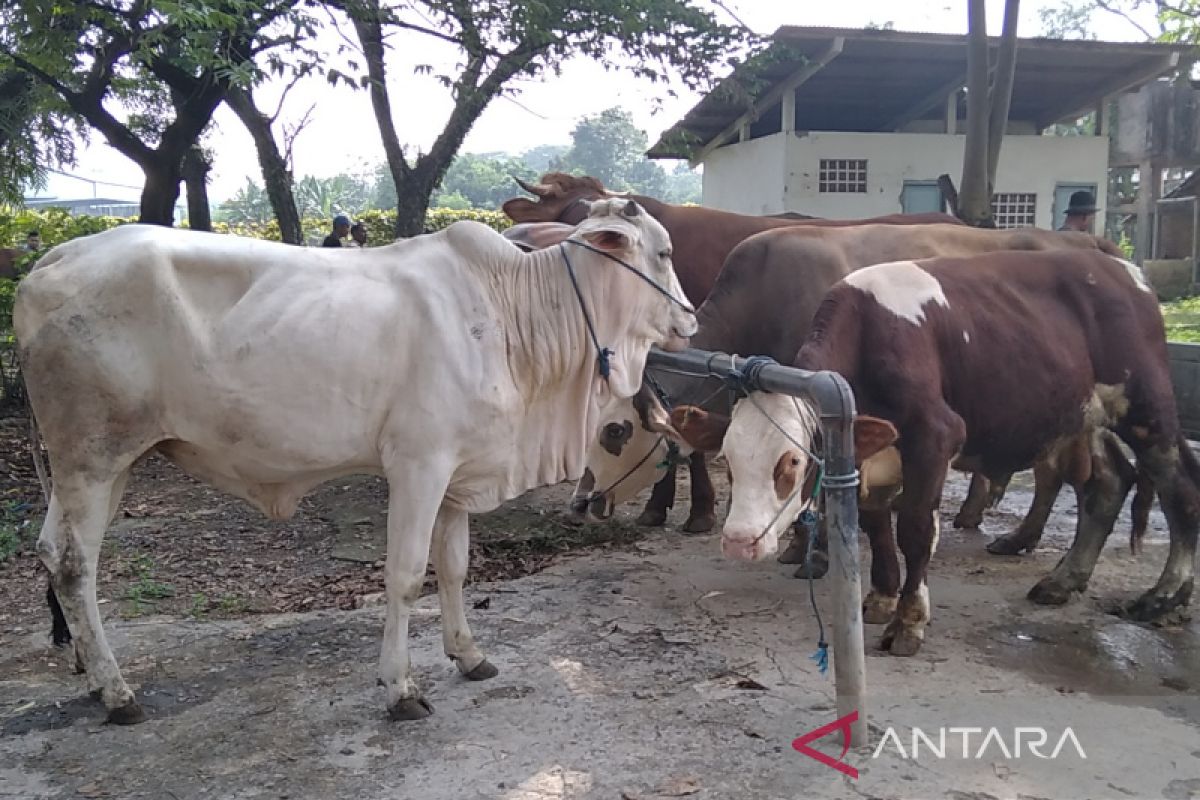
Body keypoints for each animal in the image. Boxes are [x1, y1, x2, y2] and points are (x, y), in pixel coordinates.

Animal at [16, 196, 696, 724]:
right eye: (664, 253)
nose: (691, 318)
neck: (513, 315)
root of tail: (52, 261)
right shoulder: (419, 465)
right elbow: (406, 575)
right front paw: (400, 688)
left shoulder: (458, 473)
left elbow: (454, 569)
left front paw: (469, 655)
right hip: (92, 456)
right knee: (76, 565)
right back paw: (117, 693)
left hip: (105, 466)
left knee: (56, 553)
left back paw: (92, 676)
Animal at [696, 251, 1200, 657]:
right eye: (730, 459)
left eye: (793, 461)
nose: (739, 541)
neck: (869, 333)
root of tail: (1122, 268)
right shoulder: (871, 450)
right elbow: (875, 522)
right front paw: (881, 597)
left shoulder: (935, 435)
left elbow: (915, 529)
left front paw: (908, 623)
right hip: (1082, 414)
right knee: (1108, 482)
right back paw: (1064, 580)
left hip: (1146, 407)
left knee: (1179, 487)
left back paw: (1165, 595)